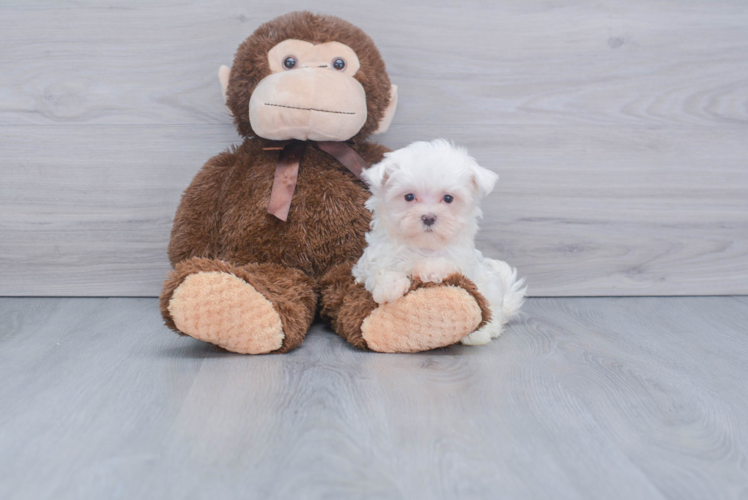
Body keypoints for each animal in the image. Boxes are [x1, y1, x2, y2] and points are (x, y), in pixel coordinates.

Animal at [352, 139, 524, 346]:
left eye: (448, 198)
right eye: (409, 197)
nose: (428, 217)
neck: (423, 246)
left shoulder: (460, 263)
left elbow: (443, 266)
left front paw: (427, 270)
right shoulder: (372, 260)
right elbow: (380, 271)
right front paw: (389, 288)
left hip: (489, 289)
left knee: (491, 313)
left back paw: (479, 334)